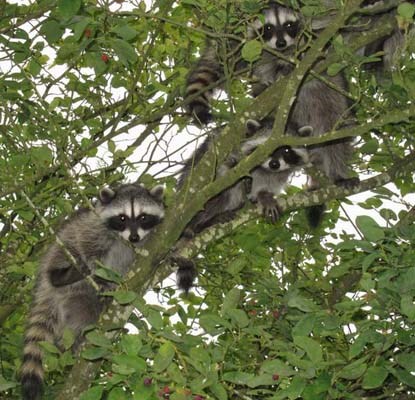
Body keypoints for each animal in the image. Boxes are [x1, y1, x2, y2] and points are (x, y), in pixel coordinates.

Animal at [20, 184, 164, 400]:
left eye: (143, 217)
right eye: (122, 218)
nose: (134, 237)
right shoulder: (92, 225)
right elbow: (87, 246)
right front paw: (99, 277)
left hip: (79, 301)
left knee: (86, 316)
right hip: (59, 249)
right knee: (67, 249)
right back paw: (63, 276)